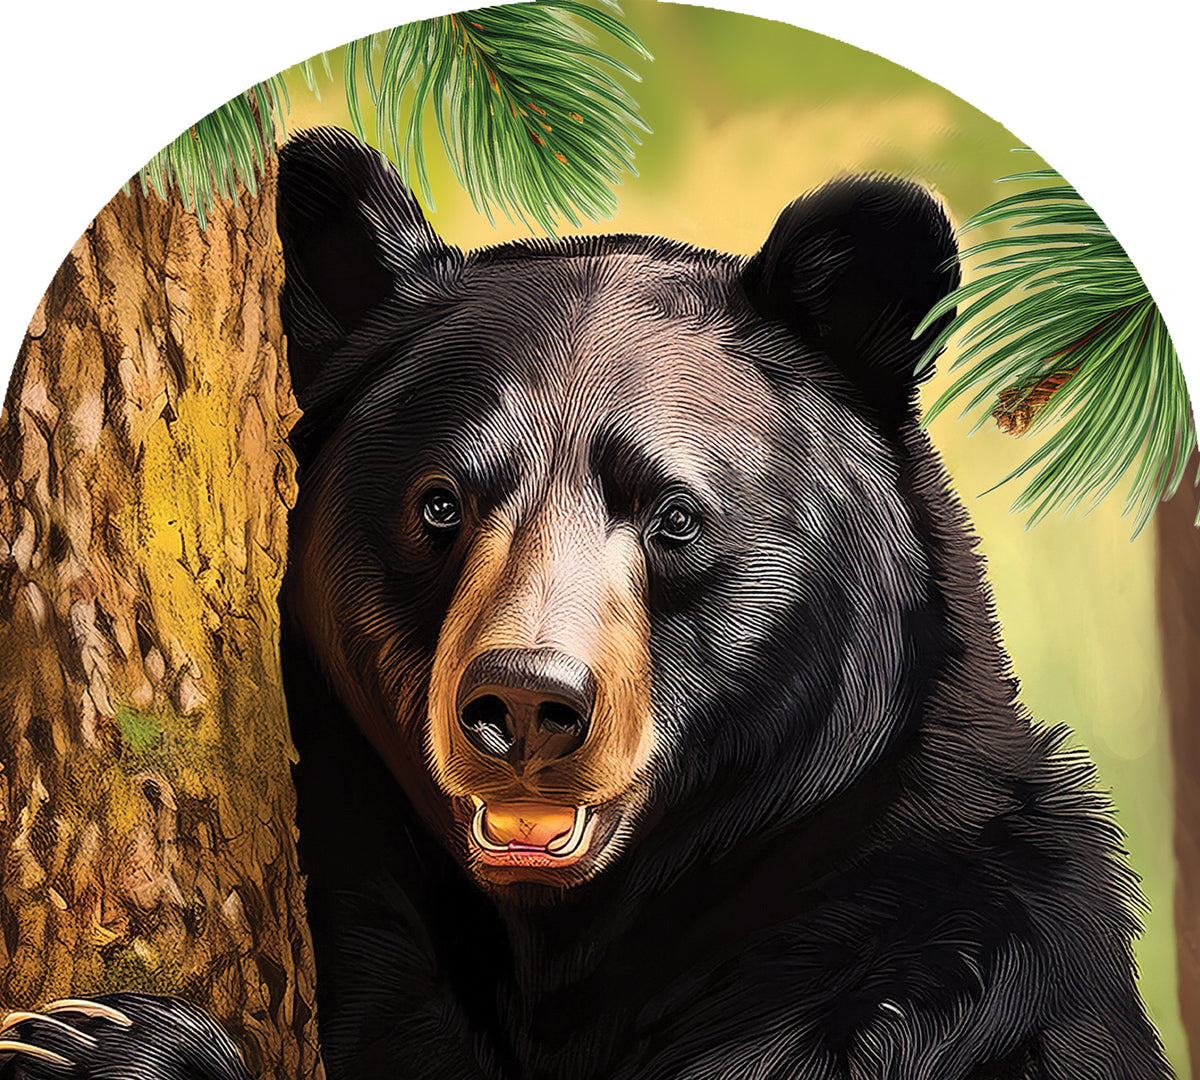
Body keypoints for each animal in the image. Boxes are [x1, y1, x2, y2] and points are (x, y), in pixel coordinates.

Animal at [0, 126, 1172, 1080]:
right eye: (440, 503)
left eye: (674, 516)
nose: (526, 704)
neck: (574, 948)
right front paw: (88, 1036)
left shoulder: (932, 969)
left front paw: (112, 1045)